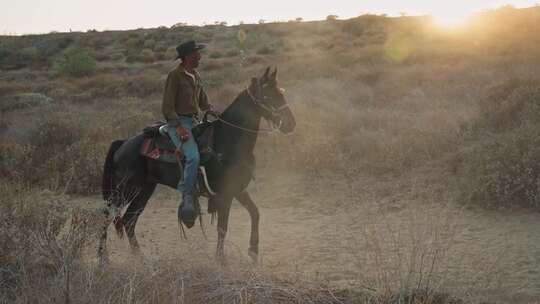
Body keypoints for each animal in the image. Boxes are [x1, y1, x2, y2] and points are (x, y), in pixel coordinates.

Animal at [97, 67, 296, 264]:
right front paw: (220, 259)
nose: (291, 124)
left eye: (281, 93)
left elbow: (255, 213)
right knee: (108, 214)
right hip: (126, 188)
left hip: (145, 189)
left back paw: (140, 258)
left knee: (129, 220)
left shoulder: (237, 189)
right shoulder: (225, 194)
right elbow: (222, 227)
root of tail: (123, 142)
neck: (228, 140)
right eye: (269, 96)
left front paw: (253, 251)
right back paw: (102, 258)